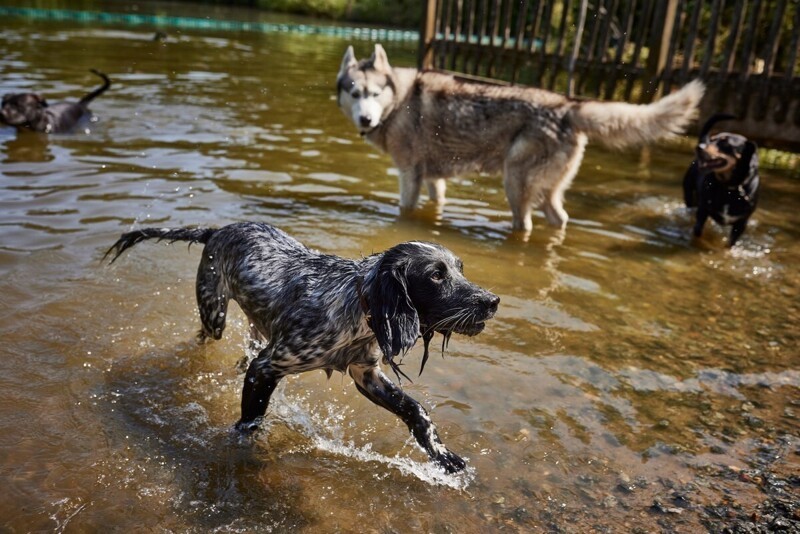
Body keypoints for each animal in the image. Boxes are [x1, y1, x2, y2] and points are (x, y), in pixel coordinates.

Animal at [103, 222, 496, 474]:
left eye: (460, 269)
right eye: (436, 275)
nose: (492, 301)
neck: (357, 308)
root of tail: (218, 230)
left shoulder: (366, 374)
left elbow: (416, 411)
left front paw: (442, 455)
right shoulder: (266, 368)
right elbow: (250, 422)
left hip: (255, 327)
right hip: (214, 313)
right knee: (204, 337)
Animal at [334, 45, 704, 238]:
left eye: (374, 94)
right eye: (355, 93)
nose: (366, 120)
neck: (398, 102)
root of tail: (569, 106)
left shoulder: (409, 175)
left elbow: (405, 210)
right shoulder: (433, 179)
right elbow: (436, 202)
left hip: (514, 181)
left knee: (524, 224)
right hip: (546, 191)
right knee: (559, 219)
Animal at [680, 114, 764, 247]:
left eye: (725, 143)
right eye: (712, 140)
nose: (699, 147)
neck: (730, 187)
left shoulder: (741, 223)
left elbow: (730, 243)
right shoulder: (703, 211)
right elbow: (698, 231)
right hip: (689, 193)